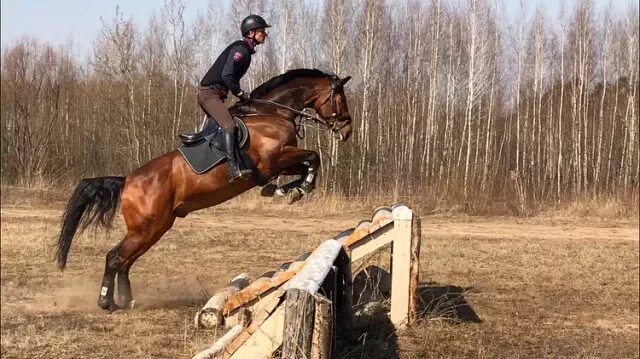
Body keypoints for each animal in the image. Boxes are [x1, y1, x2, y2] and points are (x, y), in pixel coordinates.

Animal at [55, 69, 352, 310]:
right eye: (340, 98)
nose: (347, 130)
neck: (272, 114)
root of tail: (127, 179)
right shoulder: (273, 161)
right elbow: (314, 157)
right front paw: (297, 188)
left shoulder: (280, 163)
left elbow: (307, 163)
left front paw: (290, 189)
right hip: (146, 228)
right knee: (114, 257)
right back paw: (106, 302)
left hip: (156, 228)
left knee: (126, 261)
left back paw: (127, 300)